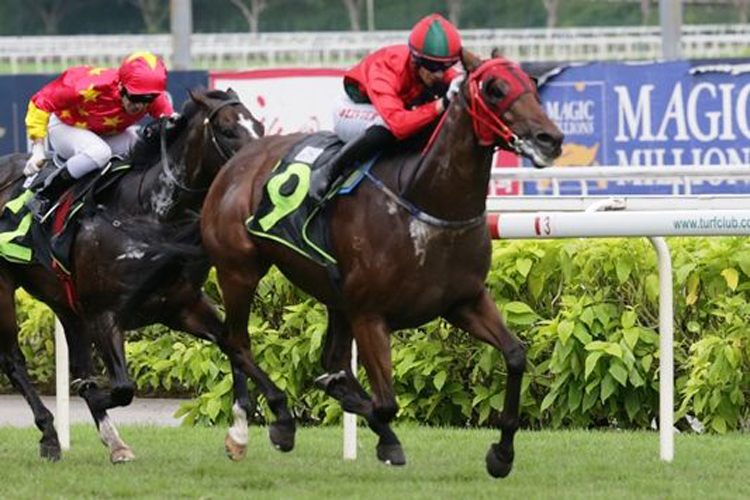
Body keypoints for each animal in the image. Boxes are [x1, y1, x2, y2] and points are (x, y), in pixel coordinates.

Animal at [0, 88, 264, 462]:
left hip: (64, 302)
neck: (150, 215)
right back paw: (50, 434)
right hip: (4, 288)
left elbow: (232, 346)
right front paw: (92, 395)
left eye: (259, 125)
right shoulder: (104, 315)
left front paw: (239, 433)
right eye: (227, 131)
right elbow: (124, 387)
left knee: (76, 362)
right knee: (13, 362)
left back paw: (113, 441)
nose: (260, 165)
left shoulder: (182, 306)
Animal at [200, 58, 564, 476]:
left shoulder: (465, 301)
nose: (550, 139)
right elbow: (385, 404)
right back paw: (273, 423)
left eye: (532, 83)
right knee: (236, 342)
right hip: (238, 270)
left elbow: (516, 356)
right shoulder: (370, 315)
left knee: (328, 358)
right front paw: (377, 431)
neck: (424, 204)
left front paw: (501, 453)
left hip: (334, 296)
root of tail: (237, 161)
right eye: (495, 89)